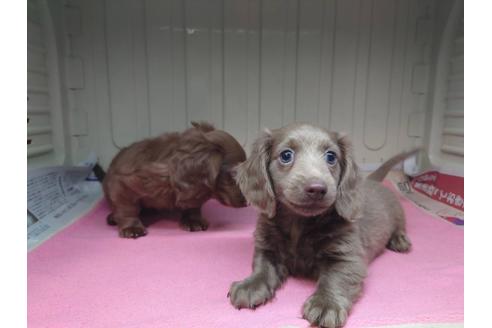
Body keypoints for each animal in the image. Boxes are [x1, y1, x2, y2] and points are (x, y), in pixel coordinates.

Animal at [99, 121, 246, 237]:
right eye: (234, 175)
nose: (248, 202)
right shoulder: (122, 184)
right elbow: (127, 209)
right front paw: (131, 227)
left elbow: (193, 206)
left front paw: (193, 221)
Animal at [229, 123, 418, 328]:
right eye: (286, 155)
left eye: (331, 157)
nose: (317, 188)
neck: (300, 223)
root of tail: (374, 180)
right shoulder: (267, 247)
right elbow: (263, 268)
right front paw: (250, 285)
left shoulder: (347, 257)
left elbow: (335, 278)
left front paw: (327, 304)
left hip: (398, 213)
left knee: (400, 226)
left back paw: (399, 240)